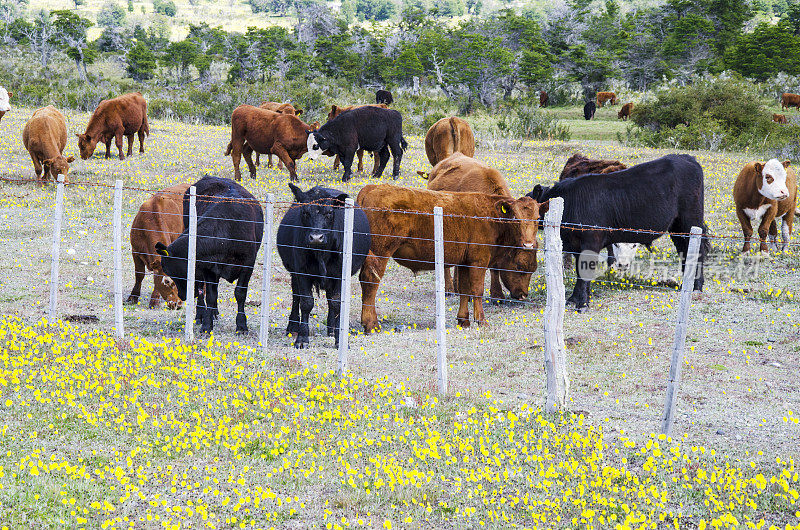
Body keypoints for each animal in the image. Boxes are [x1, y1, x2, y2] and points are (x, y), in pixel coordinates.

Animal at [155, 175, 266, 332]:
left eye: (170, 271)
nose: (183, 295)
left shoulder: (248, 263)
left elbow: (240, 293)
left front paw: (241, 325)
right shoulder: (208, 267)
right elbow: (210, 296)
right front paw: (207, 325)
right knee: (203, 289)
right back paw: (202, 314)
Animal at [278, 184, 372, 348]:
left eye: (329, 213)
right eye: (305, 212)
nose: (316, 237)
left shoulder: (340, 274)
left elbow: (337, 303)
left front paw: (339, 340)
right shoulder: (302, 272)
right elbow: (306, 302)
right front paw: (302, 338)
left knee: (330, 300)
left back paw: (332, 329)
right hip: (293, 272)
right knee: (296, 296)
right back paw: (293, 326)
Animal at [360, 182, 548, 330]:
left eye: (538, 217)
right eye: (515, 218)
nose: (528, 243)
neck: (493, 218)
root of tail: (370, 188)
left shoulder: (464, 263)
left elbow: (464, 290)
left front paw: (463, 320)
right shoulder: (479, 261)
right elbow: (477, 290)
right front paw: (481, 320)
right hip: (380, 252)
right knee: (370, 281)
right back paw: (372, 324)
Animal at [532, 153, 708, 308]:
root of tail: (686, 157)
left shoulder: (591, 242)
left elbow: (584, 272)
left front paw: (582, 304)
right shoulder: (577, 246)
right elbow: (580, 272)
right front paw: (575, 299)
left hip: (690, 221)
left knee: (697, 251)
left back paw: (696, 287)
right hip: (677, 227)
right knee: (684, 251)